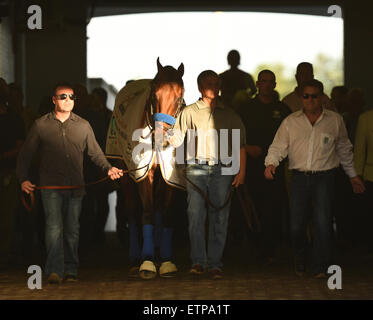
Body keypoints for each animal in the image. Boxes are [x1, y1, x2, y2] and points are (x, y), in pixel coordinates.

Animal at [109, 58, 186, 278]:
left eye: (179, 97)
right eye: (154, 94)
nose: (161, 135)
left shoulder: (170, 175)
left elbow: (166, 213)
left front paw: (166, 260)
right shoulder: (143, 173)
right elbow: (147, 213)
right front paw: (148, 260)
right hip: (126, 175)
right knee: (133, 211)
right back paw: (136, 256)